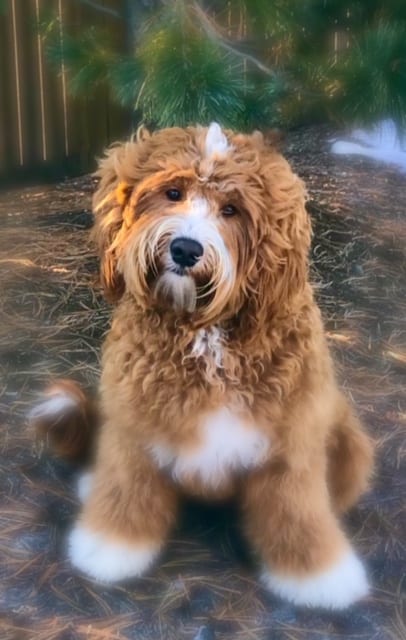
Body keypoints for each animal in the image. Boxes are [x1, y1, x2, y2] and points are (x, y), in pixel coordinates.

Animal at [31, 122, 374, 608]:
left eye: (231, 209)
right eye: (172, 192)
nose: (185, 249)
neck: (204, 332)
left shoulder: (291, 443)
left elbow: (297, 510)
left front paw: (319, 576)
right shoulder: (135, 425)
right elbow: (127, 488)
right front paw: (109, 547)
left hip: (348, 439)